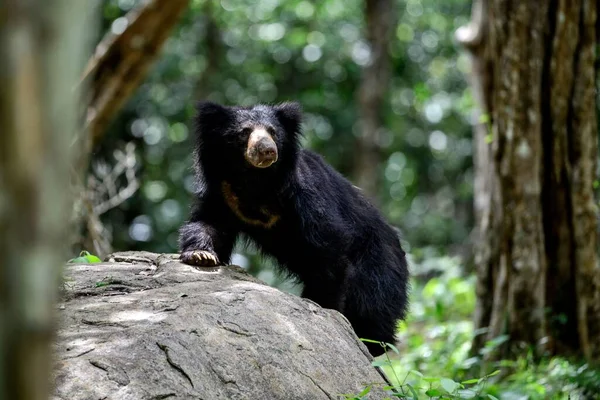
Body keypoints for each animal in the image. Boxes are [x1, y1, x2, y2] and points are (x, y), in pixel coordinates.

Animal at [178, 101, 410, 356]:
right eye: (244, 132)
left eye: (273, 132)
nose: (267, 150)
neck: (255, 180)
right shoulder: (224, 194)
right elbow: (209, 223)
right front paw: (201, 256)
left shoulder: (304, 194)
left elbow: (328, 247)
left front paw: (321, 305)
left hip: (377, 266)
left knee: (372, 308)